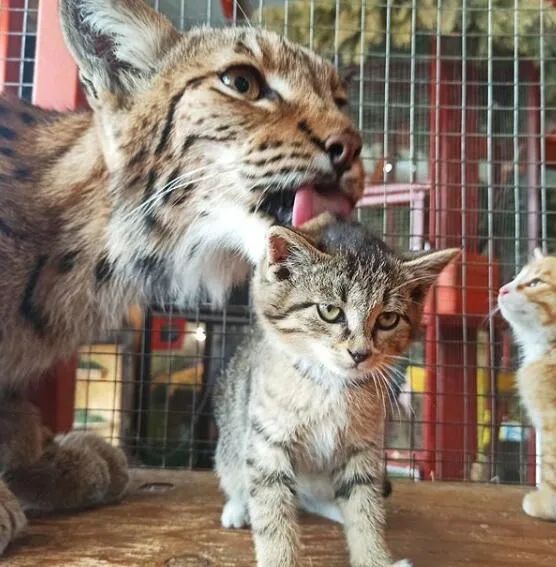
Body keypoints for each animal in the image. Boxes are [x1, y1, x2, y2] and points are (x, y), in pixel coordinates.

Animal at [215, 219, 458, 567]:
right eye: (330, 311)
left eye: (388, 318)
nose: (360, 353)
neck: (331, 386)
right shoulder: (267, 443)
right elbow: (272, 512)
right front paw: (278, 555)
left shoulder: (362, 449)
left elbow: (364, 509)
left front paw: (374, 558)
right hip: (232, 441)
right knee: (238, 477)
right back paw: (237, 508)